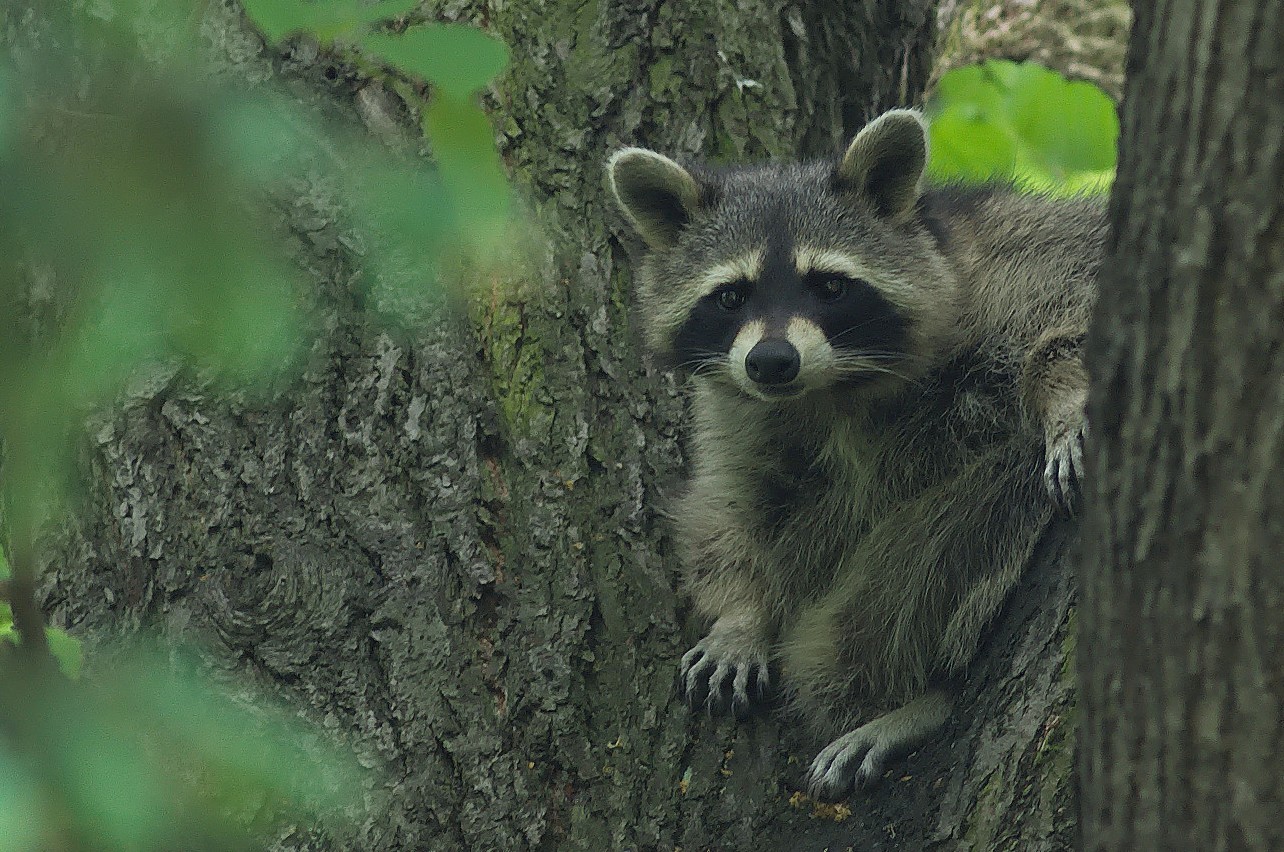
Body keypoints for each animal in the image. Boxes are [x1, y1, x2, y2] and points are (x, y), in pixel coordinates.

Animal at [608, 111, 1104, 800]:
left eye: (829, 286)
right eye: (731, 296)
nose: (771, 361)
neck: (831, 388)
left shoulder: (1017, 265)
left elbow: (1073, 310)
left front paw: (1066, 399)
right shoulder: (739, 411)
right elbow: (730, 505)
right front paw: (741, 614)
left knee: (961, 526)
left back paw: (921, 697)